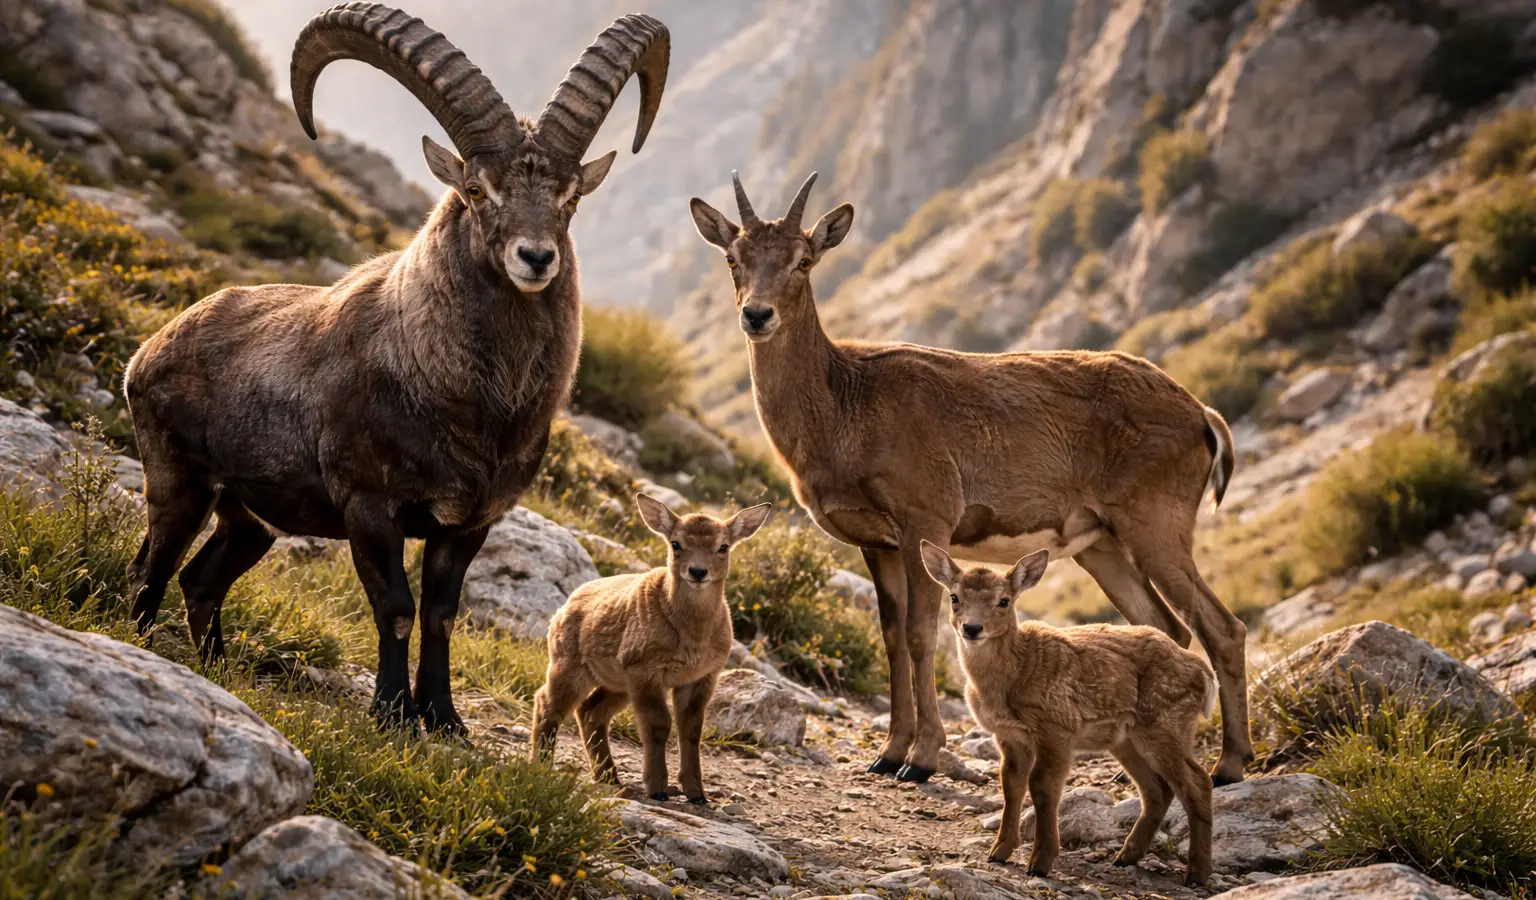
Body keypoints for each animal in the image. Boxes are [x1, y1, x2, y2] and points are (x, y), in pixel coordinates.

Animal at [122, 2, 669, 733]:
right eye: (476, 188)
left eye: (571, 194)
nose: (536, 258)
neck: (467, 402)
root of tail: (151, 348)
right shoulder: (369, 506)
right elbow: (396, 609)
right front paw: (390, 713)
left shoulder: (469, 523)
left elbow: (440, 615)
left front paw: (444, 718)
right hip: (179, 478)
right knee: (153, 567)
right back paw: (139, 647)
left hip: (251, 516)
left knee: (201, 578)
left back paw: (216, 667)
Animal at [531, 494, 771, 803]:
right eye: (676, 543)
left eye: (723, 546)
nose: (698, 571)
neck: (692, 642)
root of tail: (562, 609)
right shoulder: (645, 667)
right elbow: (659, 724)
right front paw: (657, 789)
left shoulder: (703, 675)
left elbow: (691, 729)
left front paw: (697, 793)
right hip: (570, 664)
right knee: (547, 703)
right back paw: (542, 765)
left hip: (617, 681)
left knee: (590, 711)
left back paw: (609, 776)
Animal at [687, 172, 1249, 786]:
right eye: (733, 256)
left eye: (804, 259)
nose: (757, 315)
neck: (845, 408)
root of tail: (1204, 416)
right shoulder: (875, 540)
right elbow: (890, 636)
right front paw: (888, 753)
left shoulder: (925, 516)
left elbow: (920, 632)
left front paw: (921, 759)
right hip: (1099, 543)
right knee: (1167, 627)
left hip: (1155, 520)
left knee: (1221, 627)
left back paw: (1230, 764)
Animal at [922, 543, 1215, 885]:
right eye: (954, 597)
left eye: (1003, 601)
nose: (972, 627)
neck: (1015, 672)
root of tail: (1205, 675)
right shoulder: (1008, 735)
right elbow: (1011, 784)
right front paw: (999, 852)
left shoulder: (1056, 724)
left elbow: (1042, 786)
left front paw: (1040, 863)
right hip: (1127, 738)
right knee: (1158, 788)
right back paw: (1125, 857)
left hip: (1168, 721)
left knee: (1198, 781)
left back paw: (1197, 873)